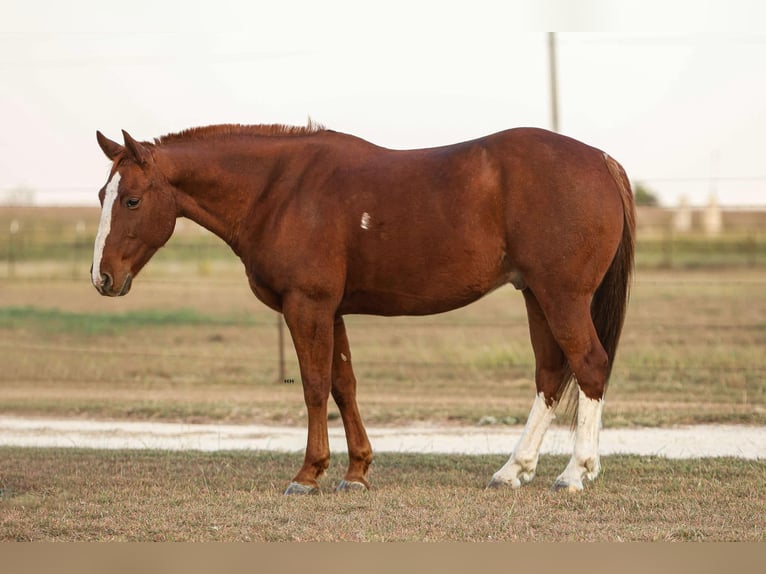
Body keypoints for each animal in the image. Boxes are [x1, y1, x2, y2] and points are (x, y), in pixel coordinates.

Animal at [92, 123, 635, 494]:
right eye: (102, 195)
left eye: (132, 200)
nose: (102, 278)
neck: (279, 189)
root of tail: (601, 159)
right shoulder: (330, 311)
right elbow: (343, 384)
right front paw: (356, 471)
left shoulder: (307, 306)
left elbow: (314, 387)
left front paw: (308, 474)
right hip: (536, 297)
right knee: (550, 374)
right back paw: (513, 469)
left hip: (561, 297)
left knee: (589, 364)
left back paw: (575, 472)